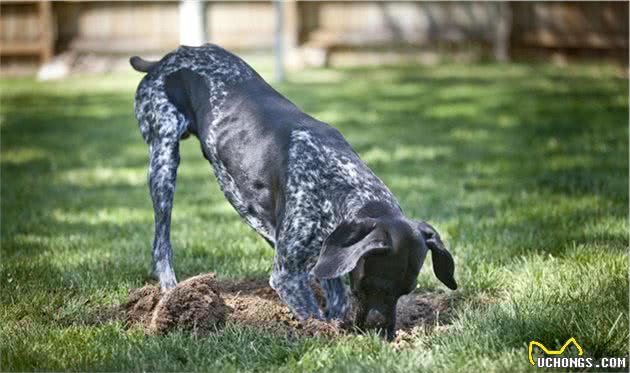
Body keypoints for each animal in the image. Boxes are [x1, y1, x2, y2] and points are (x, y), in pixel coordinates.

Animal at [132, 43, 460, 338]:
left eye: (406, 291)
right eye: (371, 286)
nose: (382, 335)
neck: (343, 183)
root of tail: (165, 59)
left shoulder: (328, 254)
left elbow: (336, 300)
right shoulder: (287, 276)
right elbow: (314, 315)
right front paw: (327, 334)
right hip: (164, 159)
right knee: (161, 242)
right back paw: (171, 293)